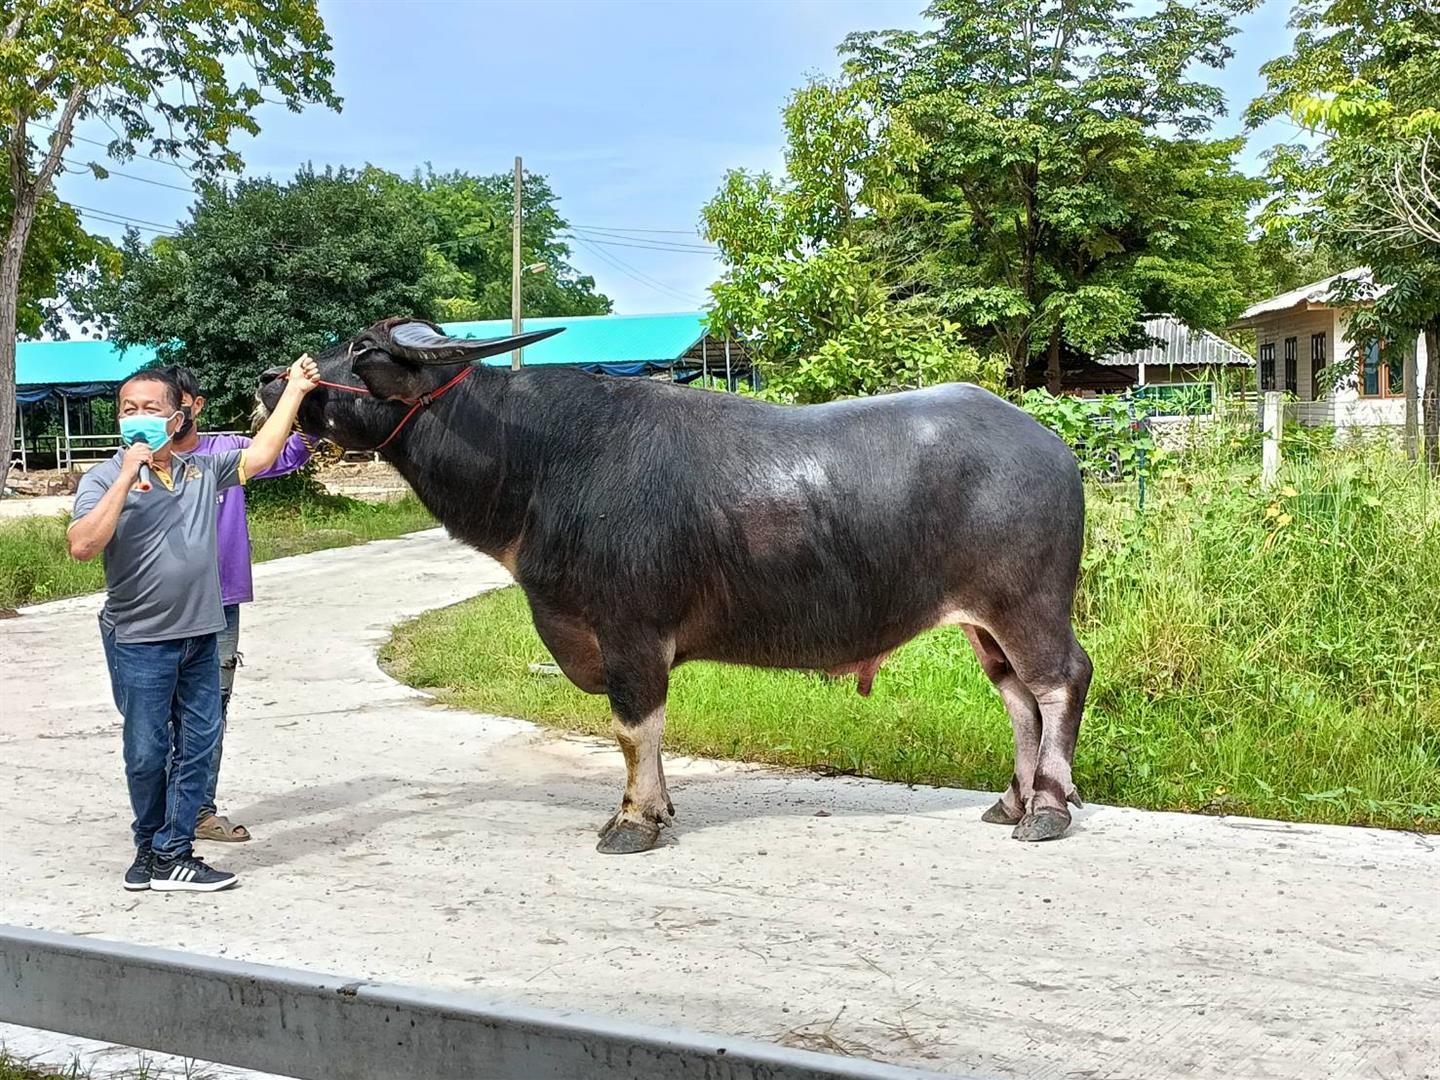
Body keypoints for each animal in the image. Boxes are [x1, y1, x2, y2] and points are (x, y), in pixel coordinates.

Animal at [258, 318, 1091, 854]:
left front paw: (635, 822)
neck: (543, 461)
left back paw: (1047, 811)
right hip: (984, 621)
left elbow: (634, 729)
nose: (273, 380)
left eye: (365, 350)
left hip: (1027, 604)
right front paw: (654, 810)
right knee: (1017, 697)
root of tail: (1051, 444)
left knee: (1059, 681)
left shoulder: (629, 631)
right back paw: (1010, 801)